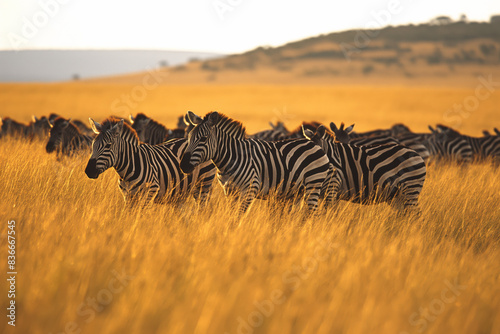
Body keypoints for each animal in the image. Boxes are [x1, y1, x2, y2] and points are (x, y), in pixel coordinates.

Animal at [84, 117, 217, 206]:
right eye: (93, 144)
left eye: (108, 146)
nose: (88, 171)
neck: (130, 165)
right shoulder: (128, 196)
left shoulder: (150, 191)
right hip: (181, 193)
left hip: (204, 184)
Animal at [180, 112, 336, 215]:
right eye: (188, 136)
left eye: (203, 139)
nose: (183, 165)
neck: (231, 158)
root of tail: (315, 144)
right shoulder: (229, 191)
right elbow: (231, 215)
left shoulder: (250, 188)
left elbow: (238, 216)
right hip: (298, 191)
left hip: (313, 184)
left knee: (313, 214)